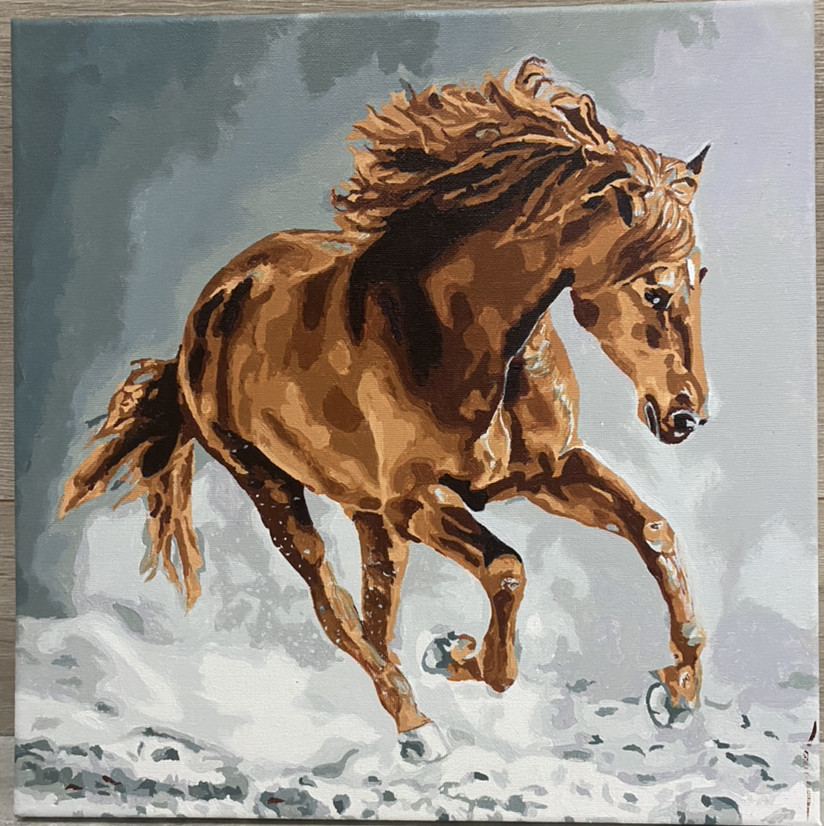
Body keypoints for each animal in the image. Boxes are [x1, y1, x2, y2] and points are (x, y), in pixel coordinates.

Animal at [61, 56, 710, 762]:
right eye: (654, 291)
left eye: (700, 276)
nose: (686, 416)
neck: (457, 333)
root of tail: (209, 310)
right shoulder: (418, 501)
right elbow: (507, 570)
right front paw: (455, 656)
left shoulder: (547, 473)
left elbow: (653, 531)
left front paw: (676, 693)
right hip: (273, 488)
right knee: (336, 608)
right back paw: (417, 725)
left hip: (368, 515)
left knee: (375, 611)